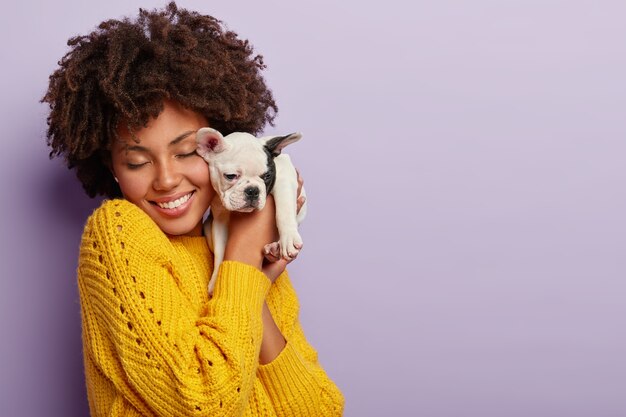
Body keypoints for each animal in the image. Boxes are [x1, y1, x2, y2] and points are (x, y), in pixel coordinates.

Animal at [193, 128, 304, 294]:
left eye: (267, 176)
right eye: (230, 176)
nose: (252, 190)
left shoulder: (284, 176)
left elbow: (284, 209)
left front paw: (289, 237)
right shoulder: (219, 219)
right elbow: (220, 251)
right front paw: (216, 280)